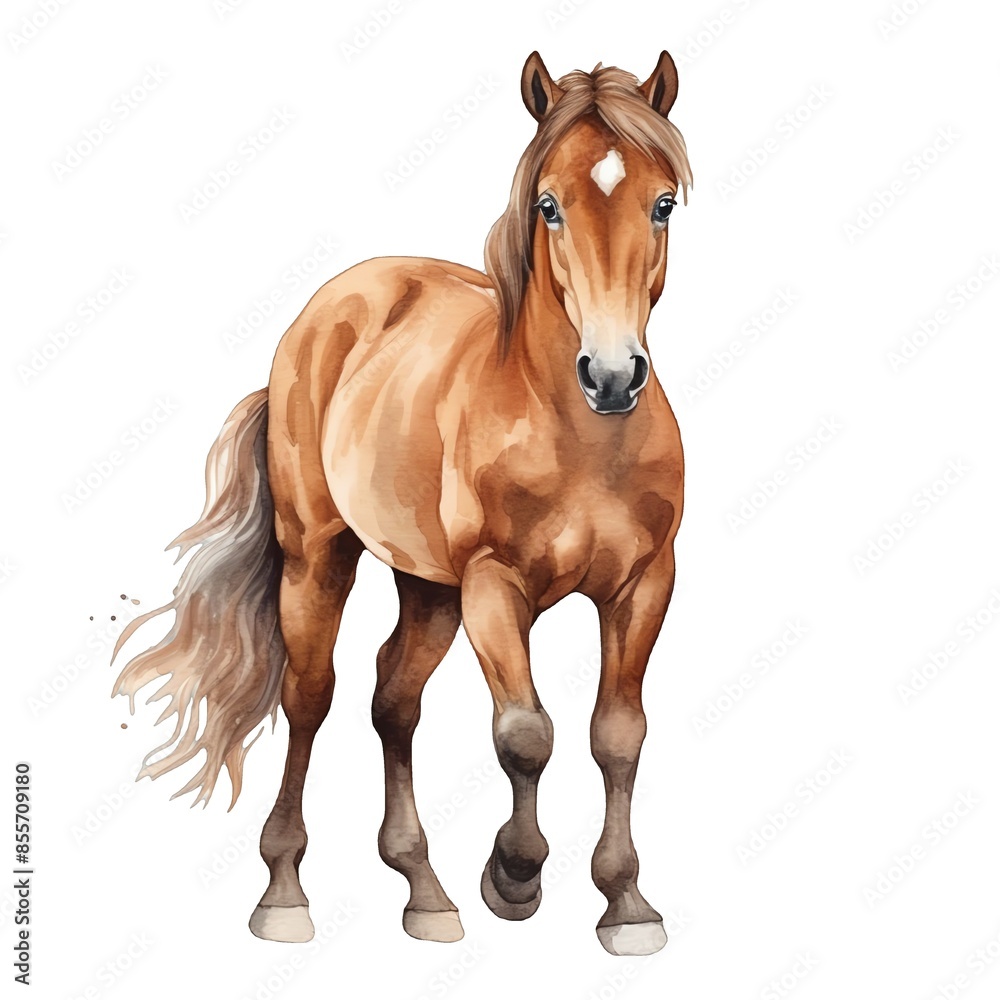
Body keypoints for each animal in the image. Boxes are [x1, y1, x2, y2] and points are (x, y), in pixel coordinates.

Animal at [112, 50, 692, 957]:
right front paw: (514, 876)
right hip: (320, 562)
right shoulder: (495, 587)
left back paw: (425, 890)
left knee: (394, 698)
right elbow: (526, 733)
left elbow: (617, 736)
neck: (581, 436)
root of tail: (331, 308)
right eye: (548, 205)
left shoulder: (643, 587)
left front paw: (626, 903)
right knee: (311, 699)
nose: (611, 375)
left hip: (428, 588)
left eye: (662, 203)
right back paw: (285, 894)